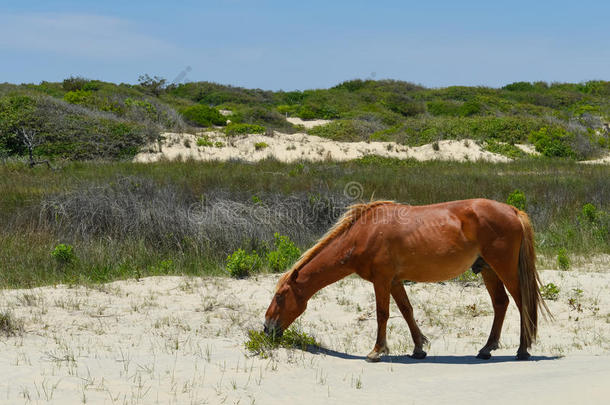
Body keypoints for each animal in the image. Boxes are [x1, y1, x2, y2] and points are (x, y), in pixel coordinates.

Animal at [264, 198, 548, 360]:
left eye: (280, 296)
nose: (266, 328)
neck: (364, 233)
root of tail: (513, 210)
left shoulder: (381, 279)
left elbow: (382, 314)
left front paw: (377, 351)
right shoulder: (394, 281)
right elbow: (407, 310)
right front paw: (419, 349)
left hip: (504, 269)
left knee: (521, 302)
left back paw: (523, 350)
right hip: (488, 270)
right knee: (501, 303)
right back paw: (486, 349)